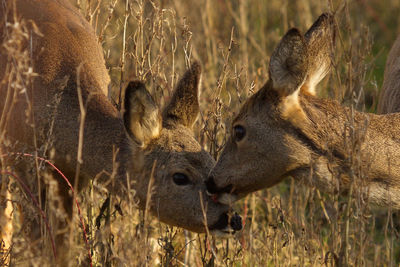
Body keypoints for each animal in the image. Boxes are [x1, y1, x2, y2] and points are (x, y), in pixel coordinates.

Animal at [0, 0, 242, 264]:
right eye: (180, 177)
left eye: (212, 163)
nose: (233, 219)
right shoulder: (24, 165)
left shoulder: (70, 177)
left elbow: (60, 246)